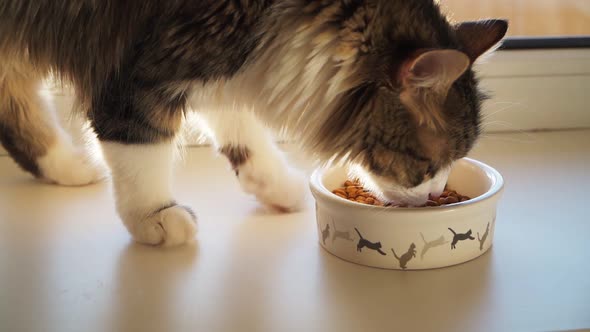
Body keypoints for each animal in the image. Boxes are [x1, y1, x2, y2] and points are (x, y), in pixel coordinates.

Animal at [0, 1, 508, 245]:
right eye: (427, 167)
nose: (434, 197)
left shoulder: (217, 66)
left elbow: (243, 134)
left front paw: (278, 187)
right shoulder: (140, 72)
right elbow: (140, 153)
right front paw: (153, 217)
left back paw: (66, 166)